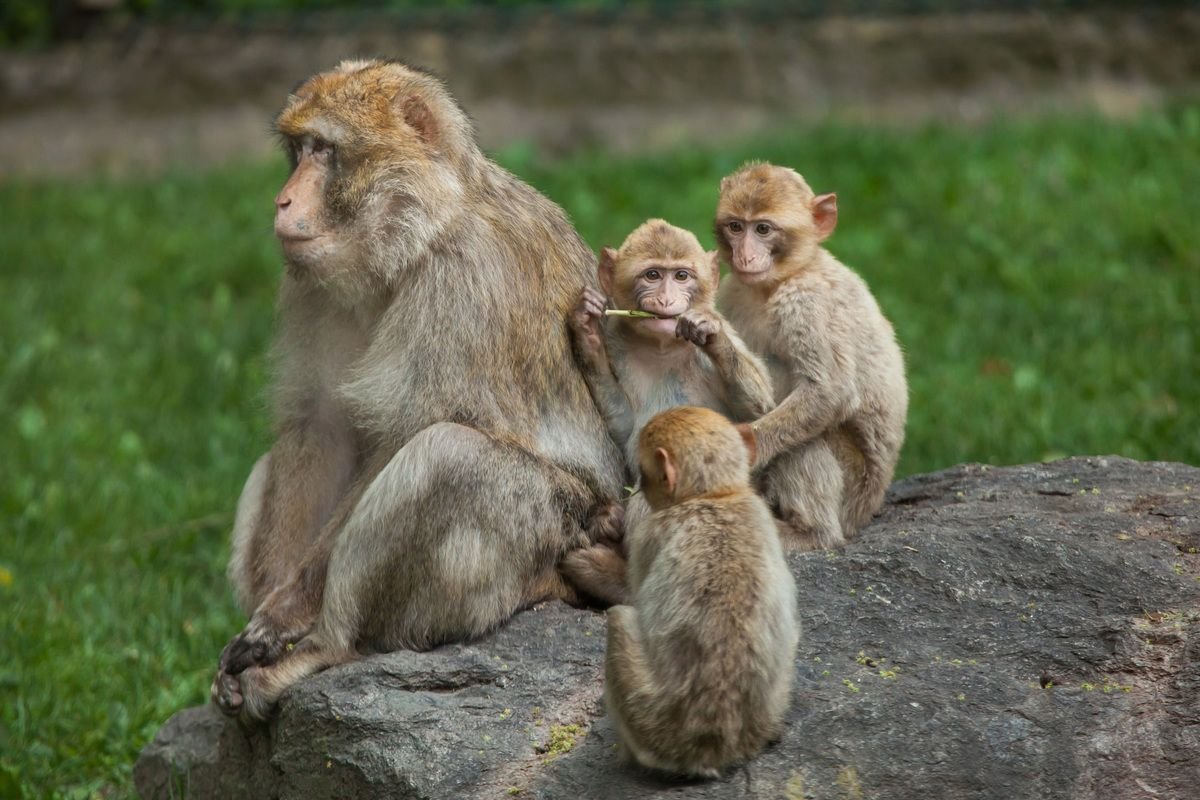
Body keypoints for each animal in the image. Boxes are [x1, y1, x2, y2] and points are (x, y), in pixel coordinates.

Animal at [208, 59, 626, 721]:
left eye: (324, 150)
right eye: (298, 151)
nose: (282, 200)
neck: (416, 238)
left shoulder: (465, 280)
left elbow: (401, 437)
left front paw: (280, 622)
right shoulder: (311, 289)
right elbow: (318, 428)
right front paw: (266, 614)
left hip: (545, 544)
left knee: (450, 454)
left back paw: (328, 648)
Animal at [559, 220, 774, 605]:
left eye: (682, 276)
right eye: (653, 275)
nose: (665, 299)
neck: (662, 346)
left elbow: (756, 414)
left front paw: (709, 331)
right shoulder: (617, 344)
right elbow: (624, 427)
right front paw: (586, 332)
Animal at [604, 405, 799, 779]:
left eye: (644, 474)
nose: (639, 491)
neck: (714, 496)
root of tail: (712, 745)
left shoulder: (648, 535)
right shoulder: (763, 514)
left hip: (651, 723)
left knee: (618, 618)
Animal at [714, 162, 908, 551]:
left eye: (763, 229)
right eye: (736, 226)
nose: (745, 255)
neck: (781, 280)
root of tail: (868, 509)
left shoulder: (806, 302)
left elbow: (830, 392)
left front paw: (745, 447)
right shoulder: (732, 291)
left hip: (853, 487)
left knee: (805, 436)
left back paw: (810, 532)